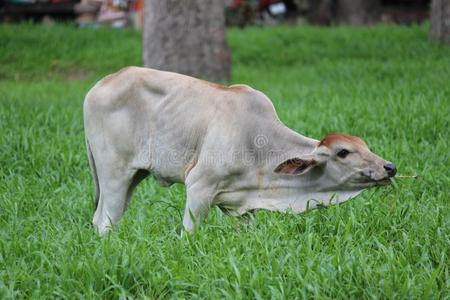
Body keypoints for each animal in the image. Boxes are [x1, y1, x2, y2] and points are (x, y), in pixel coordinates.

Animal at [82, 67, 396, 236]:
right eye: (344, 152)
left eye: (365, 145)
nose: (389, 167)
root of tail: (99, 85)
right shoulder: (199, 187)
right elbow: (188, 234)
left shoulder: (243, 207)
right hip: (115, 173)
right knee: (105, 221)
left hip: (134, 176)